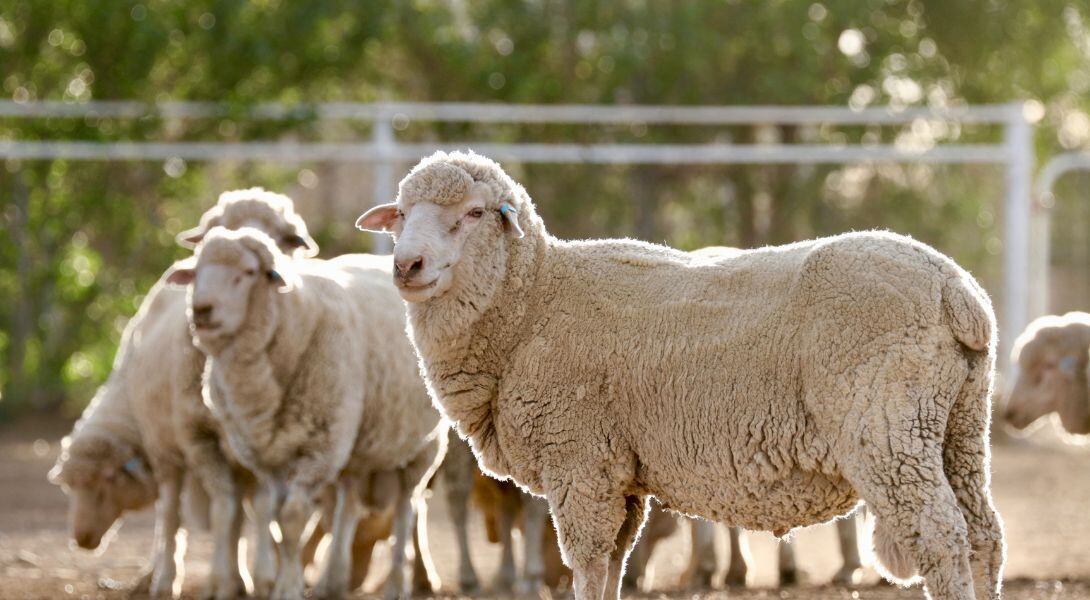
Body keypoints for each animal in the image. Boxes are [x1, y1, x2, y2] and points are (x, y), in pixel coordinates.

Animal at [49, 188, 320, 599]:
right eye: (214, 233)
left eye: (287, 239)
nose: (81, 539)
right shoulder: (198, 438)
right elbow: (222, 511)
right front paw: (225, 580)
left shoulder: (260, 445)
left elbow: (259, 507)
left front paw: (262, 577)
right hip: (168, 448)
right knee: (173, 513)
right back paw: (165, 578)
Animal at [166, 227, 445, 600]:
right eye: (196, 272)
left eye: (248, 272)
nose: (201, 310)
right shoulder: (267, 457)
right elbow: (273, 517)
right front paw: (284, 581)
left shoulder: (319, 448)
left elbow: (292, 517)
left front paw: (287, 588)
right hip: (355, 446)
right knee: (348, 504)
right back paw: (333, 581)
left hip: (423, 447)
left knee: (406, 509)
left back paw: (397, 583)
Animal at [356, 150, 1005, 600]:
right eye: (402, 216)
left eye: (473, 214)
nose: (406, 265)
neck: (533, 302)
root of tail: (955, 287)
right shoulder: (619, 473)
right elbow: (613, 566)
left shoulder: (579, 461)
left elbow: (587, 564)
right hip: (957, 426)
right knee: (983, 536)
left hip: (885, 427)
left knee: (942, 536)